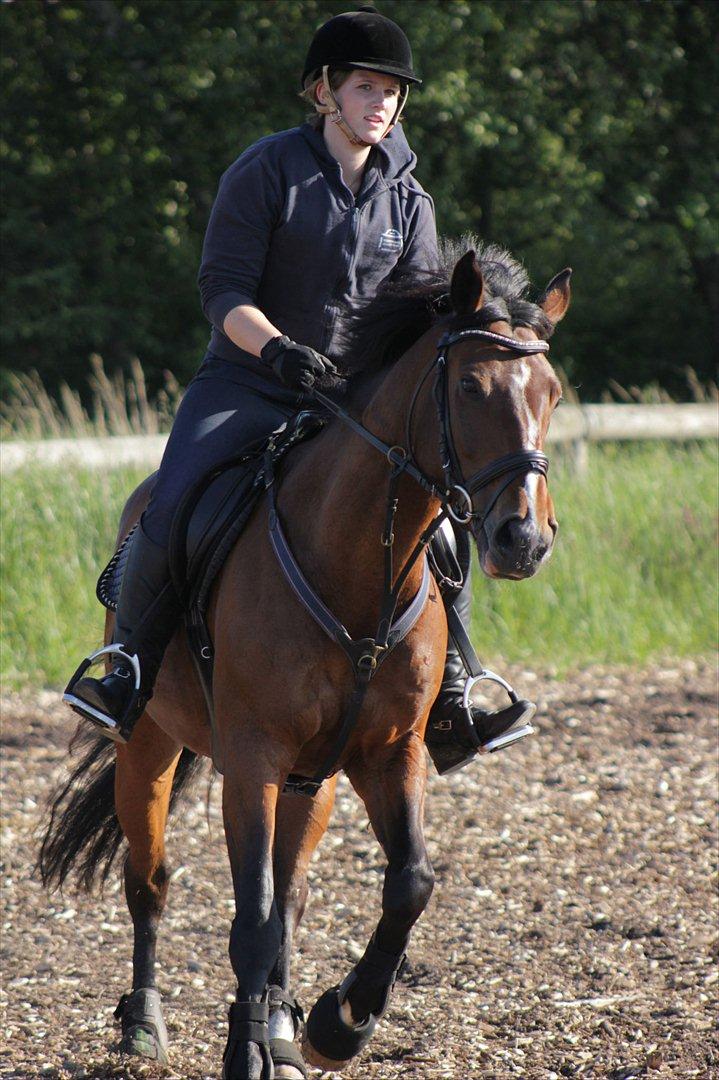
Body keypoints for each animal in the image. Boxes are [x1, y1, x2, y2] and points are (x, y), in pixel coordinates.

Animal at [39, 245, 570, 1080]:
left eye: (549, 392)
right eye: (469, 386)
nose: (524, 539)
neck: (353, 565)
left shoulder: (389, 752)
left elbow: (404, 885)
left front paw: (333, 1025)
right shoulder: (253, 756)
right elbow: (250, 916)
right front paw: (249, 1049)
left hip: (310, 780)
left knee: (290, 896)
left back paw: (284, 1027)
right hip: (149, 746)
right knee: (150, 880)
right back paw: (145, 1026)